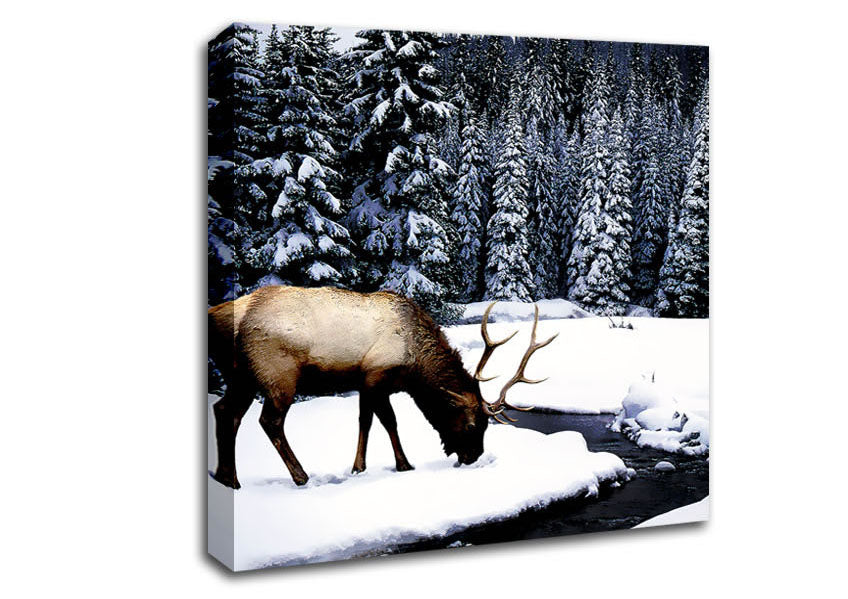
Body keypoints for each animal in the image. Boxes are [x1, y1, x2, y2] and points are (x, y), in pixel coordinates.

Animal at [208, 285, 557, 489]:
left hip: (242, 377)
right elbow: (387, 421)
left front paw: (361, 467)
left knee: (225, 410)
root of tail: (218, 316)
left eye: (487, 425)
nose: (473, 457)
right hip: (278, 374)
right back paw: (300, 475)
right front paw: (401, 464)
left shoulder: (369, 383)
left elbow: (367, 421)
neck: (415, 363)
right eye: (472, 425)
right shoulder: (375, 375)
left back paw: (228, 478)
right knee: (269, 421)